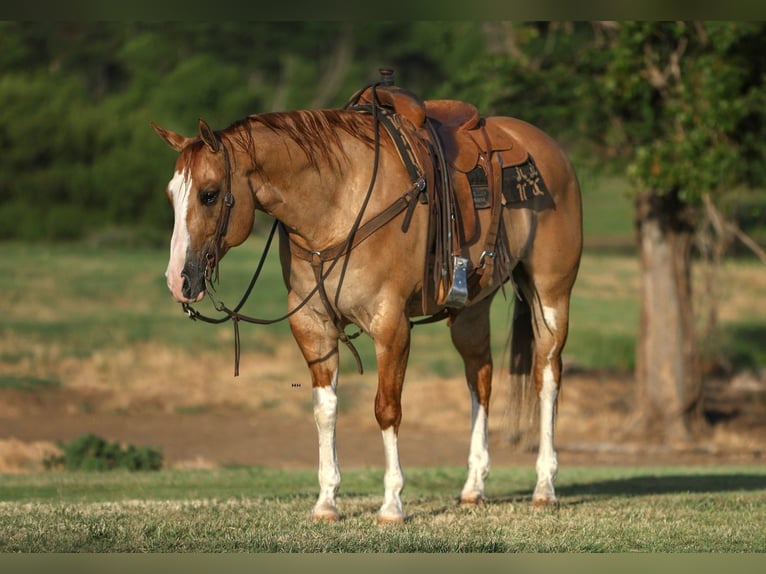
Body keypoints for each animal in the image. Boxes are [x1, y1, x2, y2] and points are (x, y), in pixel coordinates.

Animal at [152, 73, 584, 528]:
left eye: (209, 194)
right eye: (171, 195)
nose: (178, 280)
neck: (336, 204)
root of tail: (550, 150)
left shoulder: (390, 325)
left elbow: (386, 408)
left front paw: (392, 505)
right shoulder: (312, 325)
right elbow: (325, 410)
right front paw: (326, 502)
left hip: (551, 296)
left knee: (547, 378)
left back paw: (545, 488)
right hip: (470, 310)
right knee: (479, 379)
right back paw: (473, 489)